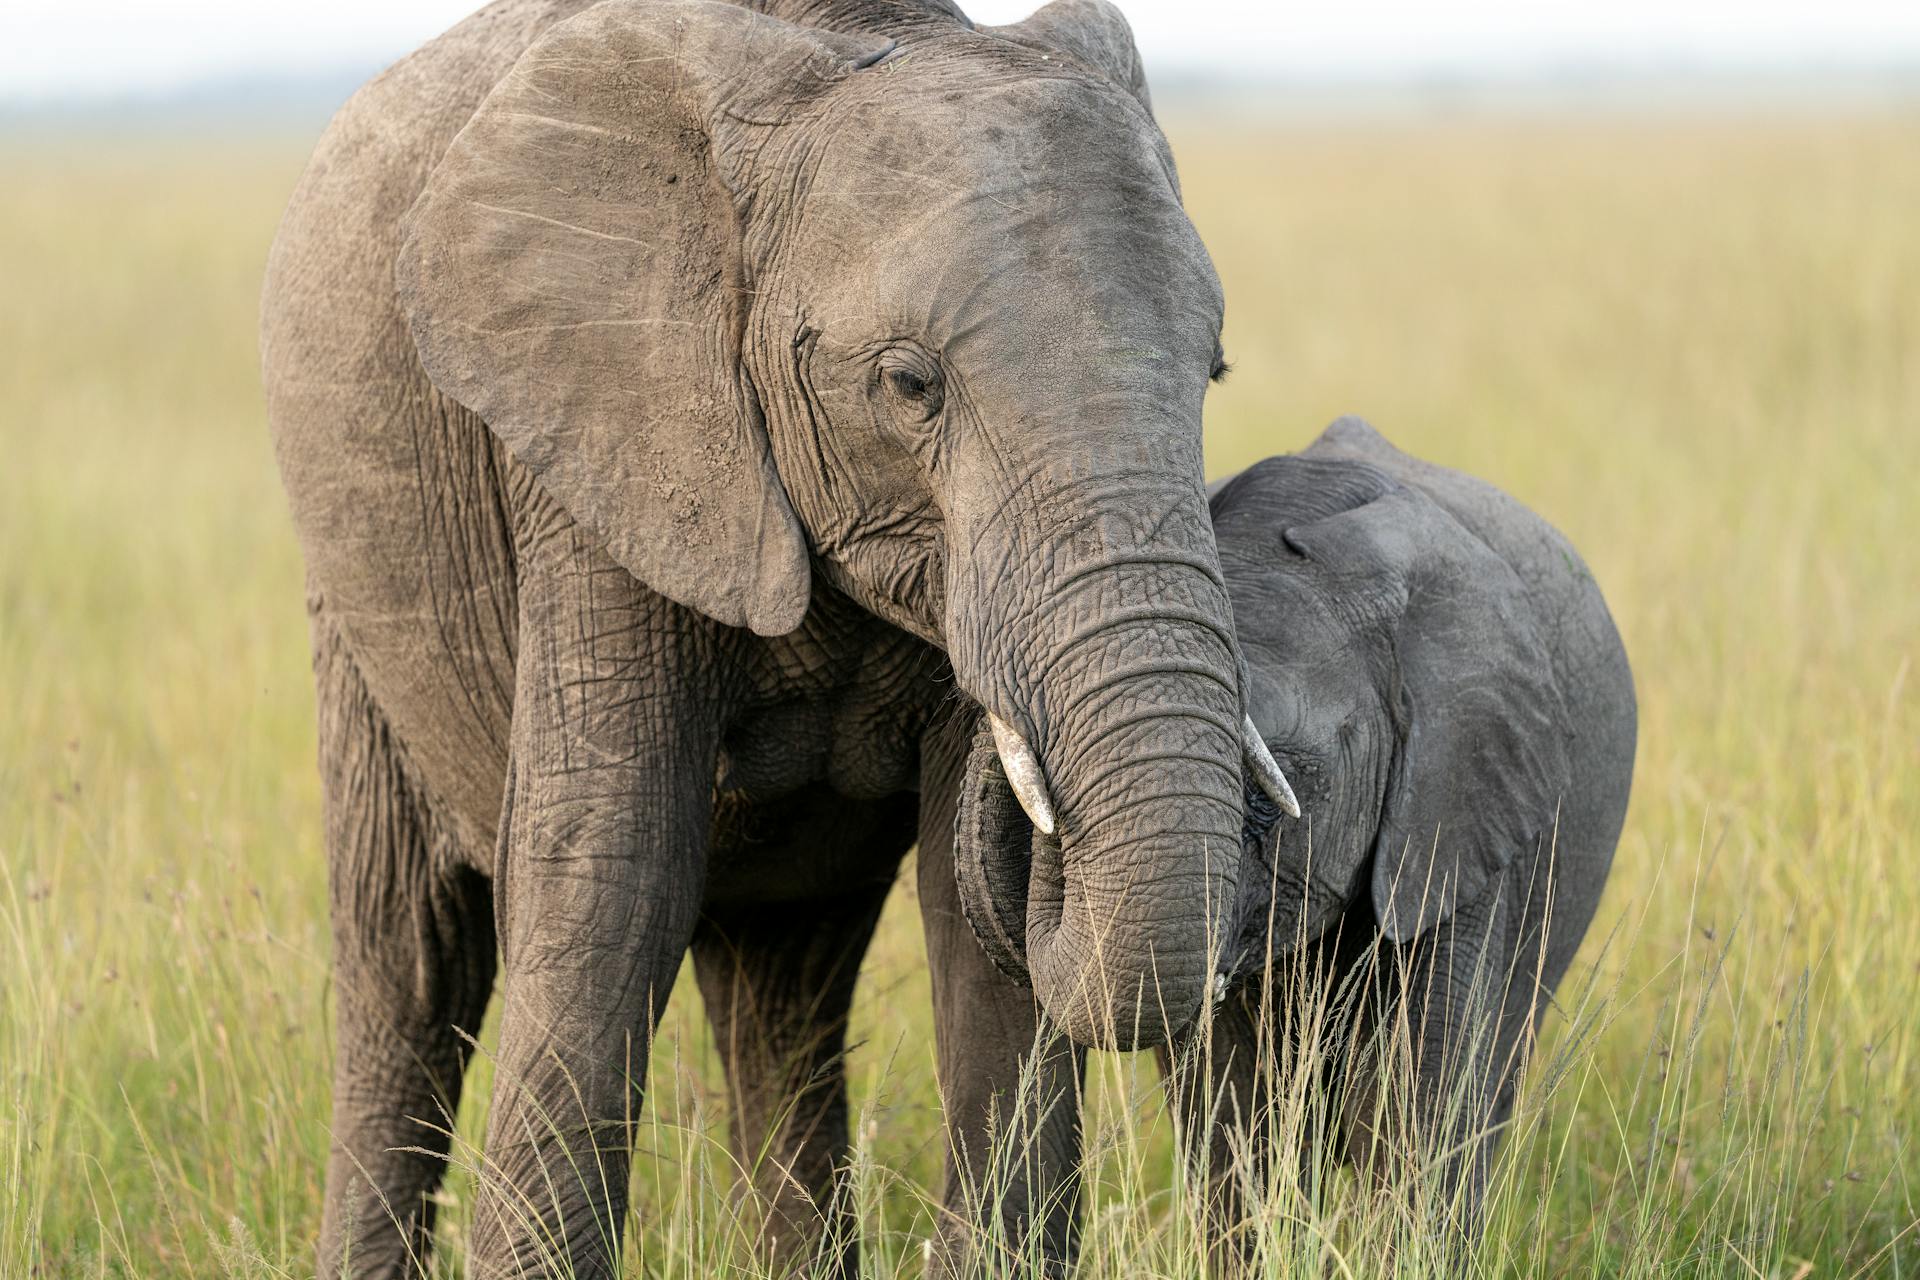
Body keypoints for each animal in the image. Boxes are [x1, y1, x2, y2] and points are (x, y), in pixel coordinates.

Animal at [259, 2, 1274, 1280]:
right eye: (910, 383)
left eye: (1215, 372)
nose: (1030, 773)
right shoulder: (603, 446)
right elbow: (610, 880)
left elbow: (967, 930)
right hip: (351, 605)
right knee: (411, 961)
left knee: (784, 991)